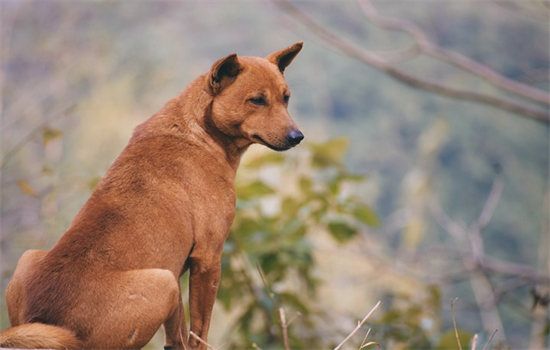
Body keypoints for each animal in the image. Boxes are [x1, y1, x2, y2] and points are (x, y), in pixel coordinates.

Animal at [0, 42, 304, 348]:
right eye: (256, 100)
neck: (199, 132)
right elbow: (200, 332)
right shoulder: (208, 258)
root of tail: (52, 322)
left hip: (31, 257)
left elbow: (181, 334)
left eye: (286, 98)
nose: (297, 137)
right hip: (163, 281)